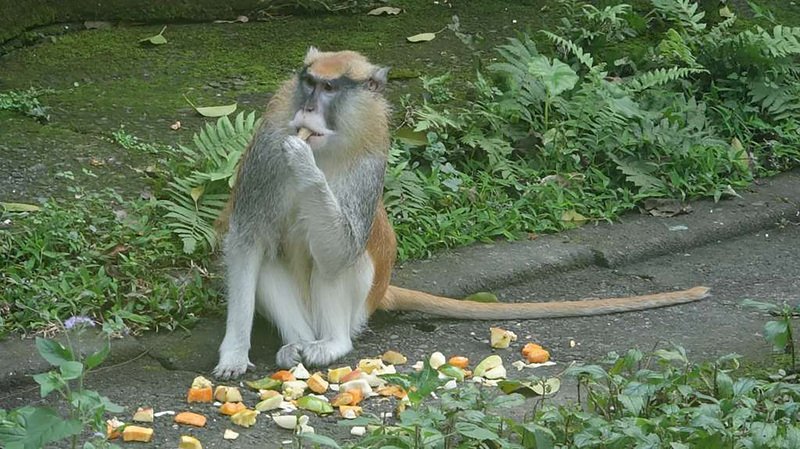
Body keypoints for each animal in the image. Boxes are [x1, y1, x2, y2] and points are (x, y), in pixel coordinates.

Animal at [212, 47, 710, 379]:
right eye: (309, 83)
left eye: (331, 88)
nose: (308, 109)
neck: (329, 145)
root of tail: (382, 292)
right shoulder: (264, 153)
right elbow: (247, 242)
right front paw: (234, 354)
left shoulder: (371, 161)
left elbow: (341, 251)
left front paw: (306, 165)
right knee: (270, 255)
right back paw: (298, 344)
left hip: (360, 303)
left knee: (348, 260)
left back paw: (330, 345)